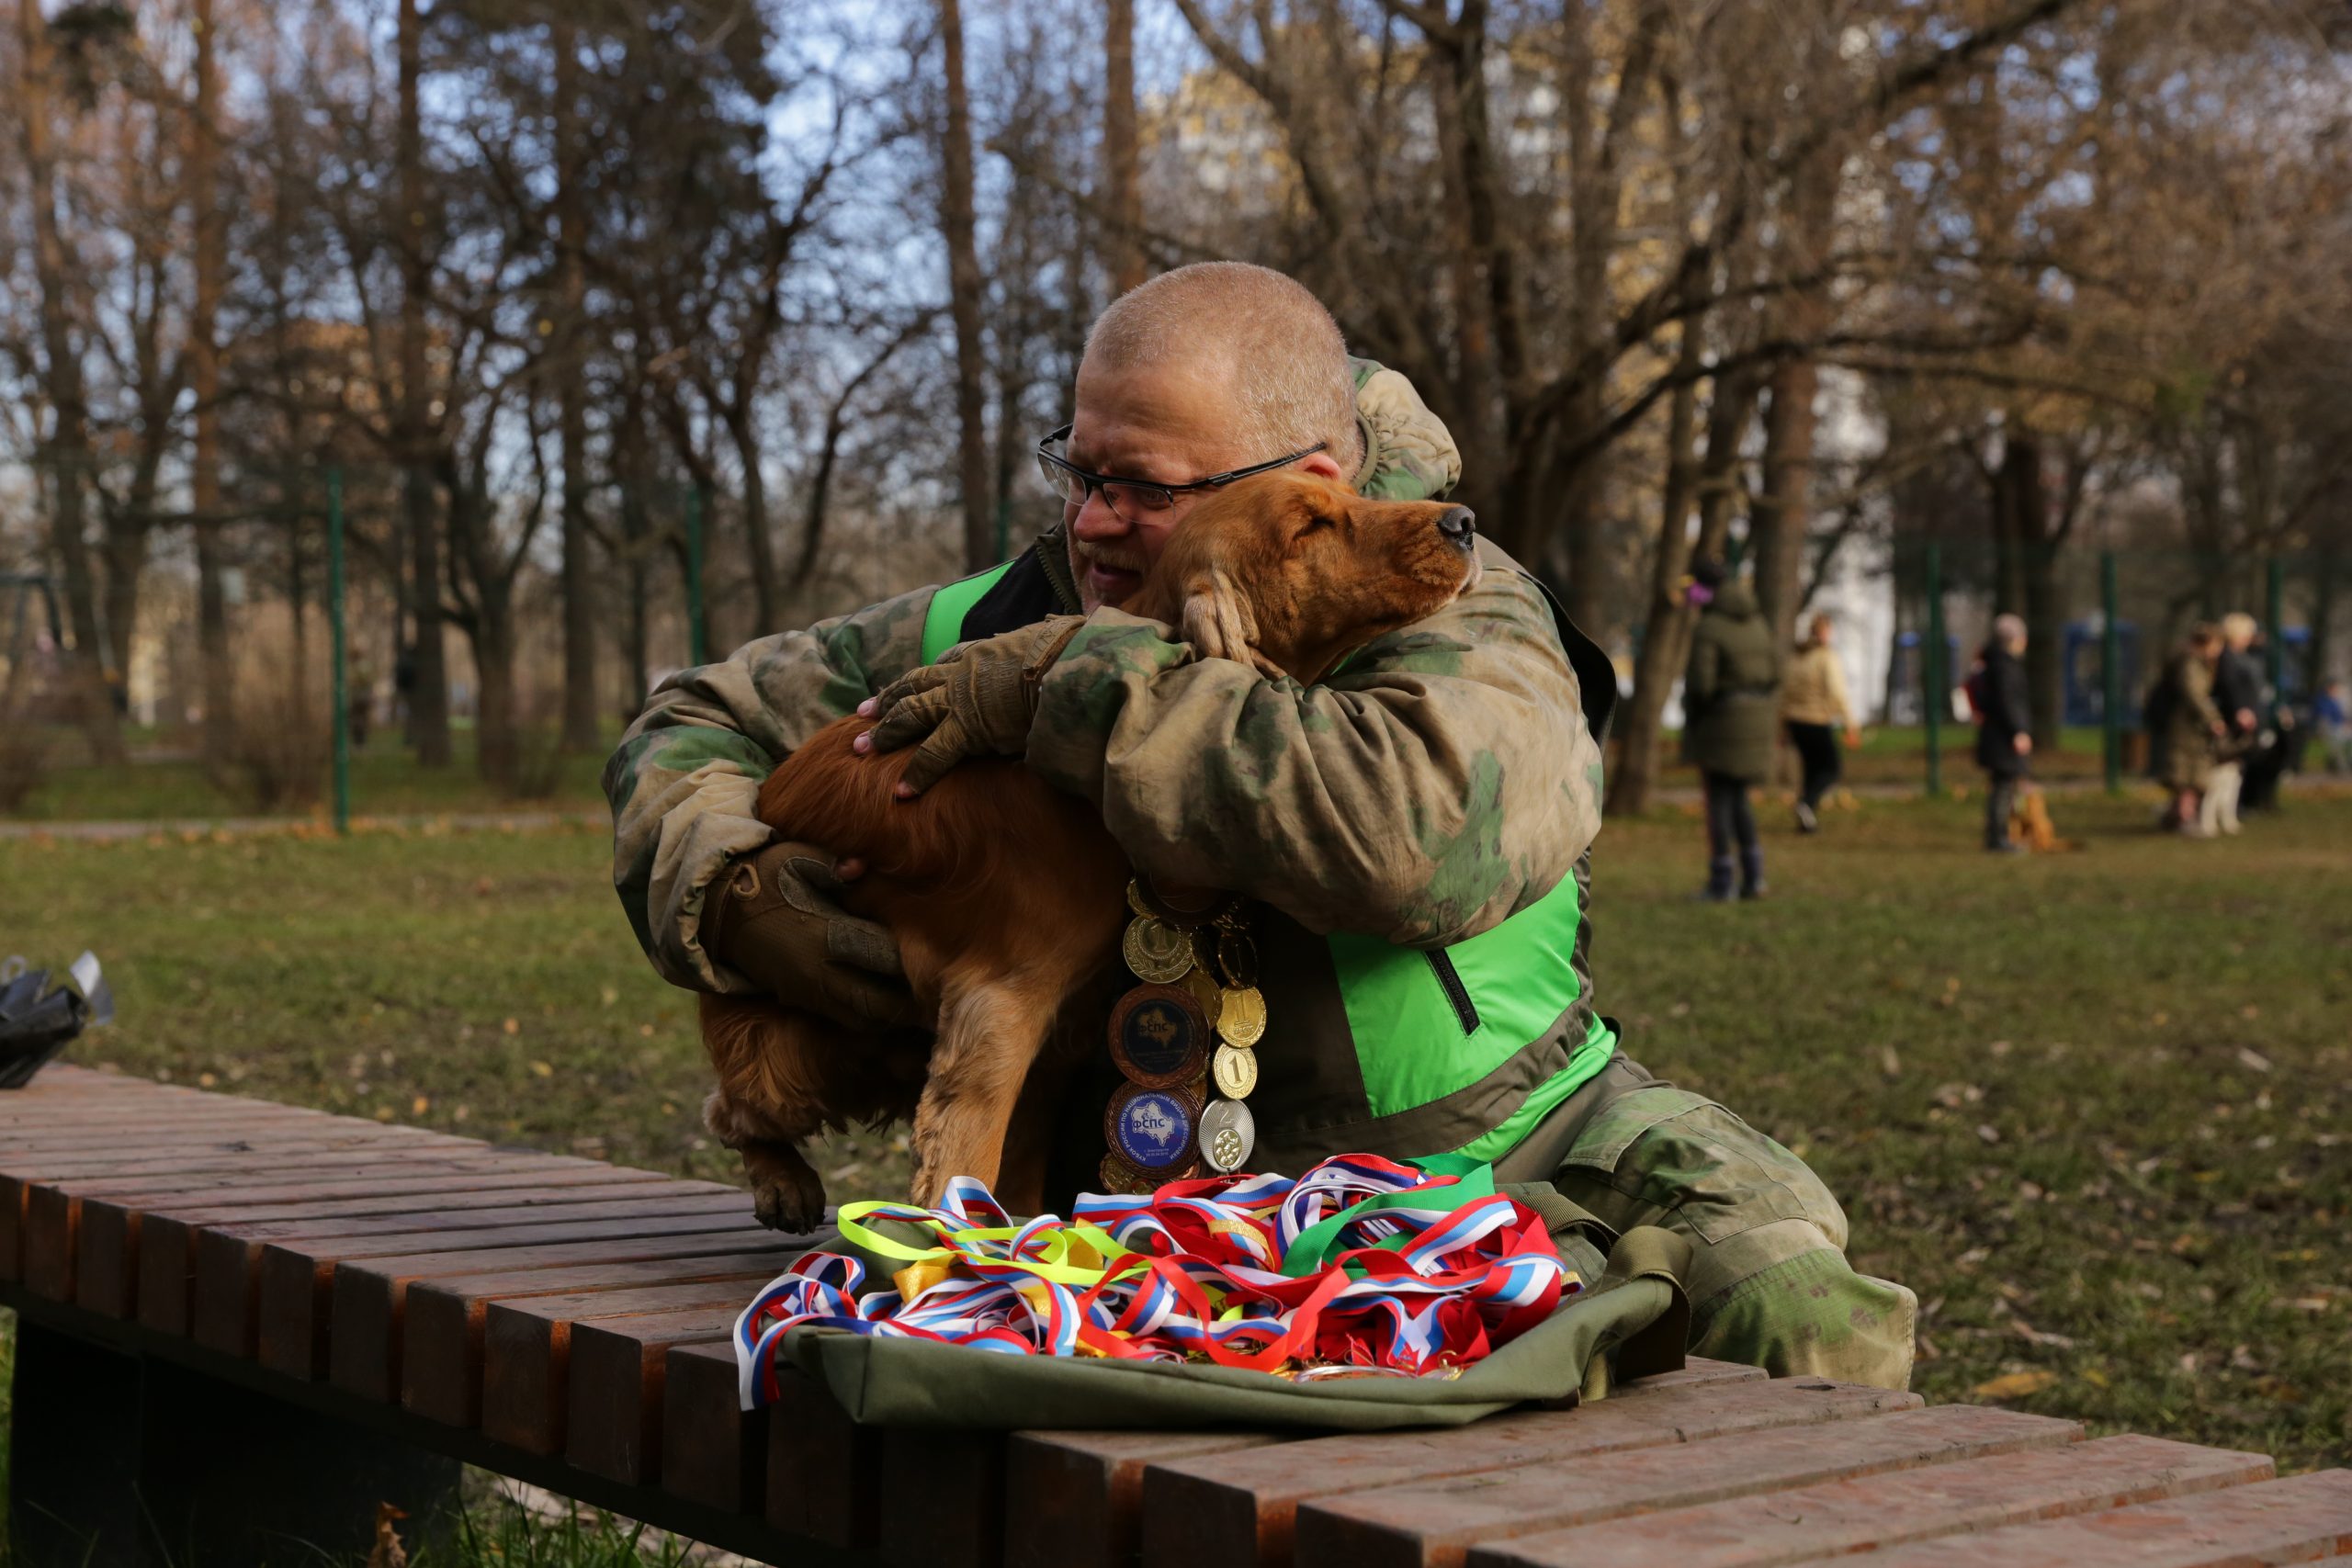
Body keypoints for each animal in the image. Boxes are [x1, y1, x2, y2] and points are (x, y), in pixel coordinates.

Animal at [686, 472, 1476, 1232]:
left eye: (1350, 493)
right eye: (1310, 524)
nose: (1464, 521)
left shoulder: (1056, 1041)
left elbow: (1016, 1180)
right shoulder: (997, 1010)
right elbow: (961, 1165)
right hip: (797, 1054)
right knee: (730, 1110)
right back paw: (783, 1181)